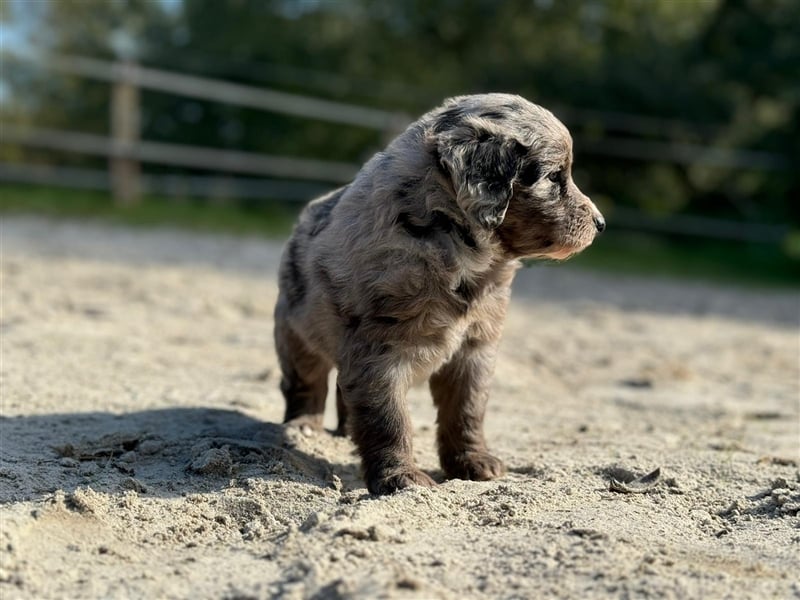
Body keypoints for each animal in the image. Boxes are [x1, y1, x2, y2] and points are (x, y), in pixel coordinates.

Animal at [272, 94, 604, 494]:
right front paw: (400, 476)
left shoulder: (474, 349)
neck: (450, 238)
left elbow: (466, 411)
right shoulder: (378, 352)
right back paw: (303, 427)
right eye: (555, 176)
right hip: (295, 331)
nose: (601, 224)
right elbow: (389, 418)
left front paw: (473, 461)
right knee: (306, 382)